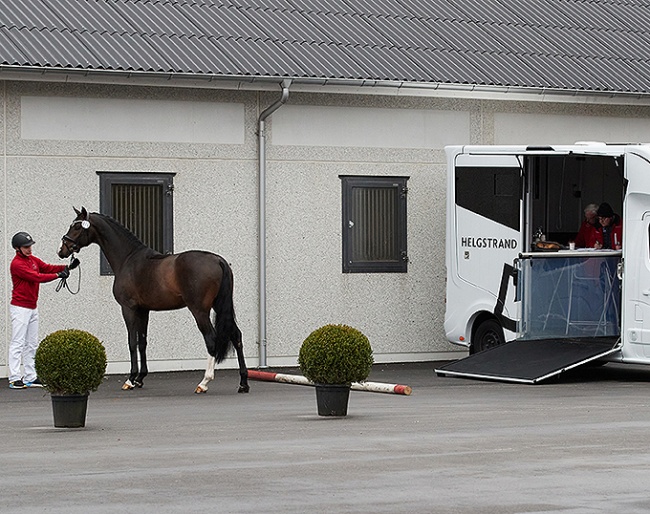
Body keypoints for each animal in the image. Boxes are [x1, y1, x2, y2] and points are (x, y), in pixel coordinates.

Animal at [57, 205, 248, 392]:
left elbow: (132, 342)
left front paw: (130, 379)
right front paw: (140, 378)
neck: (128, 259)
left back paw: (204, 382)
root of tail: (218, 260)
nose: (61, 250)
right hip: (219, 306)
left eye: (76, 227)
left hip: (199, 310)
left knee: (211, 339)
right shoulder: (143, 310)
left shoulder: (128, 308)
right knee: (236, 335)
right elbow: (142, 342)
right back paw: (243, 383)